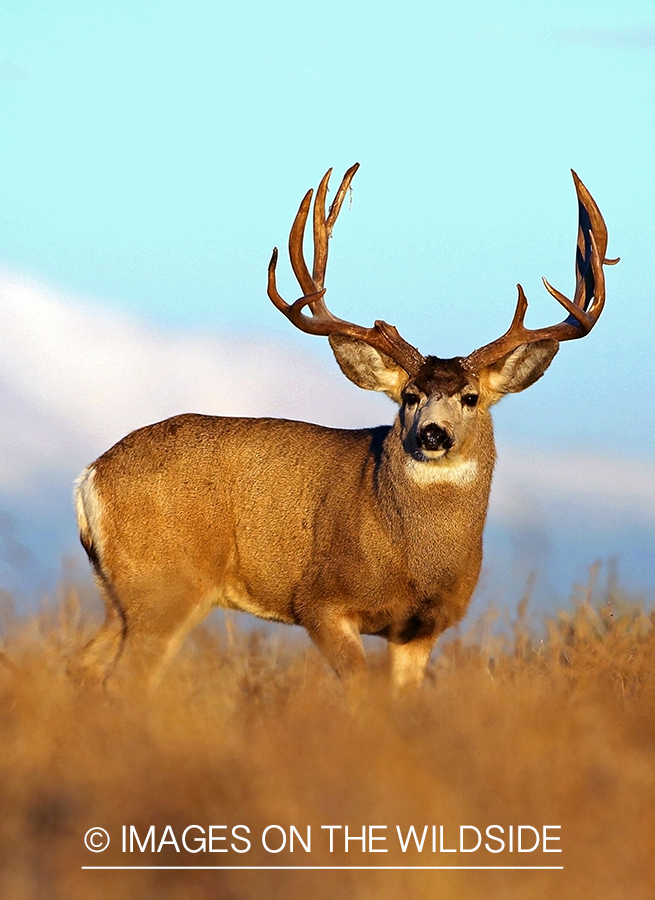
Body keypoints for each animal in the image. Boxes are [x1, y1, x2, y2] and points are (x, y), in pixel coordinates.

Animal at [74, 163, 616, 696]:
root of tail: (90, 477)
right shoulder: (320, 600)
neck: (409, 554)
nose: (433, 435)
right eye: (409, 396)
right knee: (125, 677)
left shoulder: (422, 628)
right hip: (164, 583)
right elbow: (360, 693)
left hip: (120, 593)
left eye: (471, 397)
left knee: (83, 663)